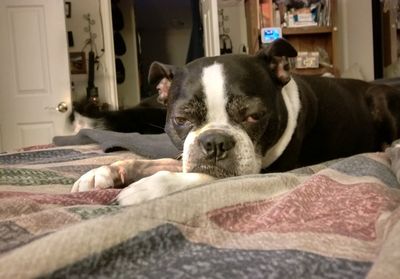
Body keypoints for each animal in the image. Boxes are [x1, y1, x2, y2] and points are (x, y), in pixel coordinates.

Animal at [71, 39, 400, 206]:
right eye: (181, 119)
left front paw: (147, 188)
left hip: (378, 98)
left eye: (253, 115)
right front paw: (103, 173)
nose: (214, 142)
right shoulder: (189, 157)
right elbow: (152, 163)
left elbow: (205, 177)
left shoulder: (262, 170)